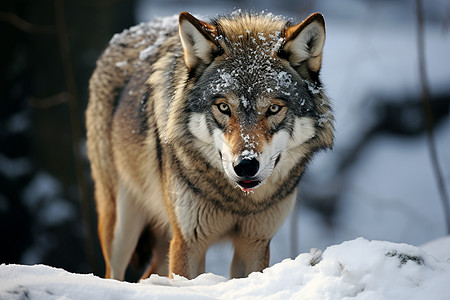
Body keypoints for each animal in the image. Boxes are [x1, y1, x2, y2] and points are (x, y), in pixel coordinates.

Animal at [86, 9, 334, 282]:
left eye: (273, 109)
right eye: (223, 107)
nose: (246, 166)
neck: (237, 202)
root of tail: (125, 33)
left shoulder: (254, 243)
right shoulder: (188, 242)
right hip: (122, 230)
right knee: (114, 274)